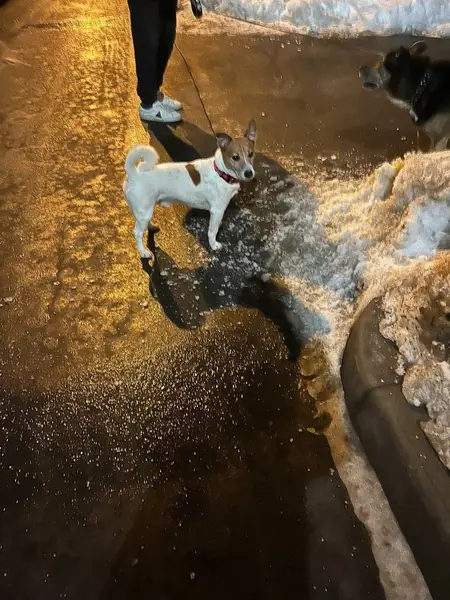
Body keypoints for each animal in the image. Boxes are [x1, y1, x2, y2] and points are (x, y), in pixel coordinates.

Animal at [123, 119, 257, 258]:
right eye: (235, 157)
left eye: (251, 154)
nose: (249, 173)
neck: (221, 172)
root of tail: (134, 174)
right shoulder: (217, 211)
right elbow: (212, 231)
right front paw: (213, 245)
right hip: (144, 211)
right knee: (137, 233)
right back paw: (143, 252)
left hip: (145, 211)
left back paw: (151, 228)